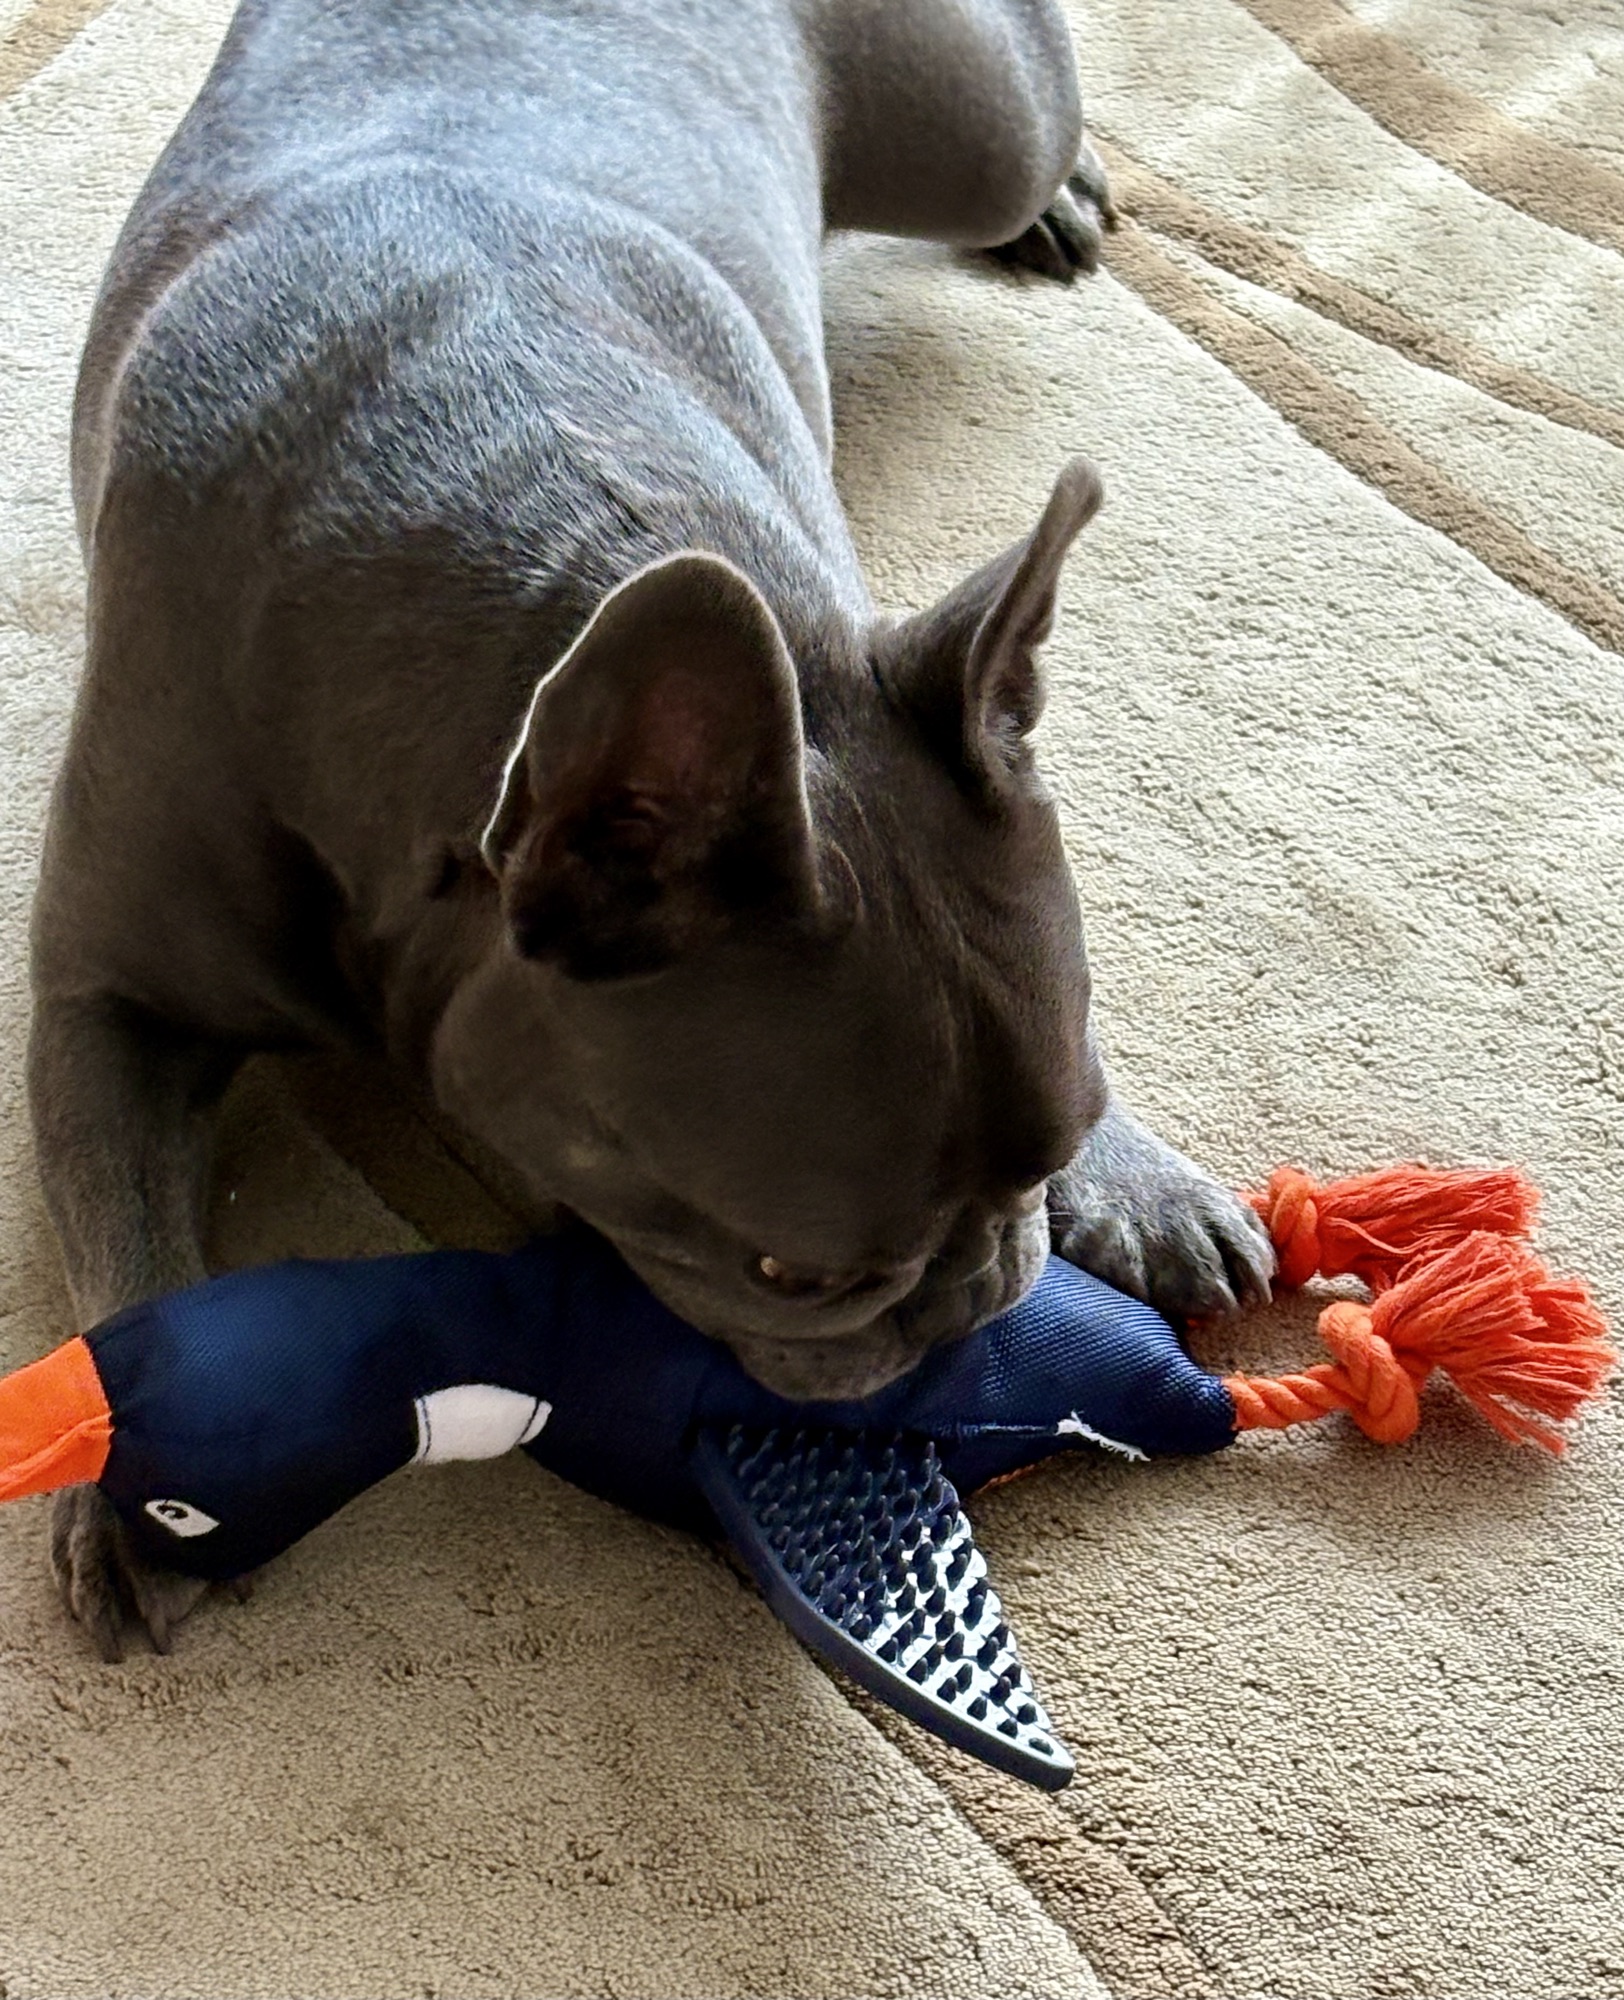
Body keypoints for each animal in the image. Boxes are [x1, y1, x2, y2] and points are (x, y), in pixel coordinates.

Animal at [28, 0, 1274, 1660]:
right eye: (791, 1269)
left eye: (1061, 1142)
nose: (974, 1312)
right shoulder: (107, 1002)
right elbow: (121, 1236)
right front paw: (126, 1490)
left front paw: (1136, 1182)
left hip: (973, 129)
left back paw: (1064, 194)